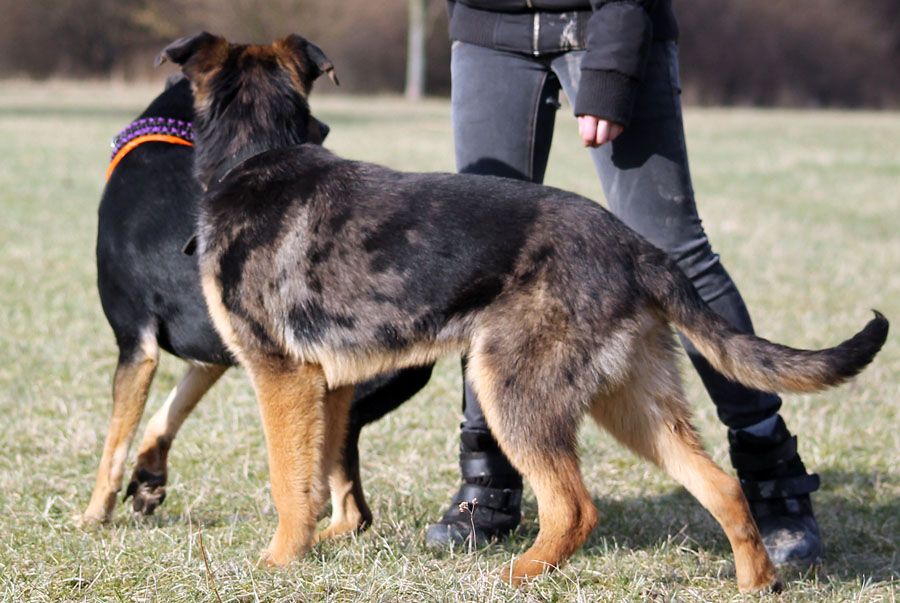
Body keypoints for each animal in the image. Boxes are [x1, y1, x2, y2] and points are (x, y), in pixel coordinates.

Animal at [82, 74, 433, 532]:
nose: (324, 128)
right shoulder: (214, 347)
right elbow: (171, 409)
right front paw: (148, 476)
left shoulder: (136, 346)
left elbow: (113, 446)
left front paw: (92, 515)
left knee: (348, 506)